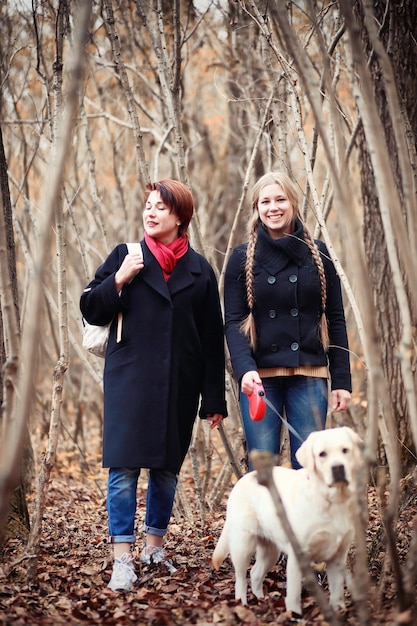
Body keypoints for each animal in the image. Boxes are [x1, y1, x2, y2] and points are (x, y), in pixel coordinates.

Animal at [213, 426, 362, 612]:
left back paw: (261, 599)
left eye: (345, 450)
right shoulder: (298, 556)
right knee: (240, 577)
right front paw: (294, 614)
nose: (338, 468)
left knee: (255, 573)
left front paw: (338, 611)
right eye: (322, 454)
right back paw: (243, 603)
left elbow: (337, 595)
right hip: (243, 544)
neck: (331, 500)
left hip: (270, 549)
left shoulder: (337, 558)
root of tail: (241, 480)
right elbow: (294, 595)